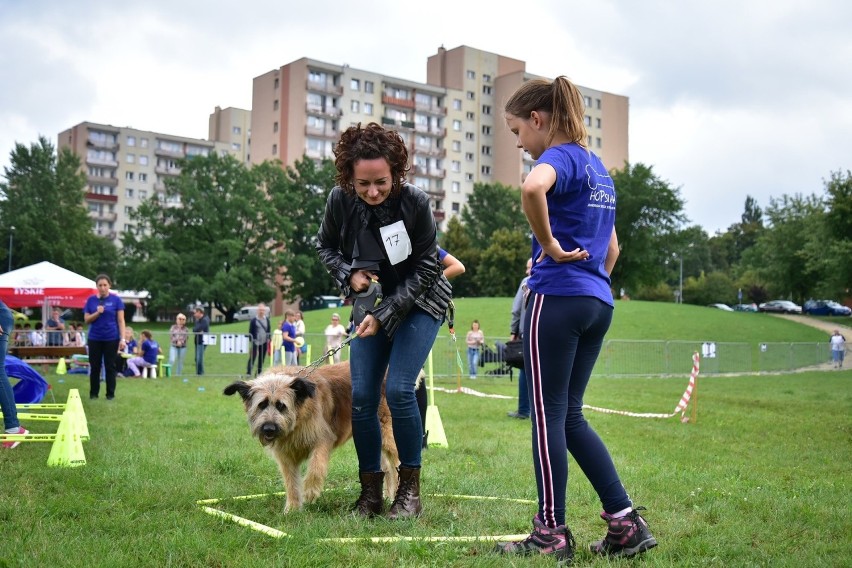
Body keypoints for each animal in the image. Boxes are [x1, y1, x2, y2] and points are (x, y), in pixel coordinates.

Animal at [226, 362, 400, 512]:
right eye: (261, 405)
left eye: (281, 406)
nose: (269, 429)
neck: (298, 418)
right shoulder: (285, 456)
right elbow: (291, 482)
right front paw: (292, 509)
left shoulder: (322, 440)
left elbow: (316, 467)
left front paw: (310, 491)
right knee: (386, 468)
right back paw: (386, 497)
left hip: (387, 434)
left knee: (396, 464)